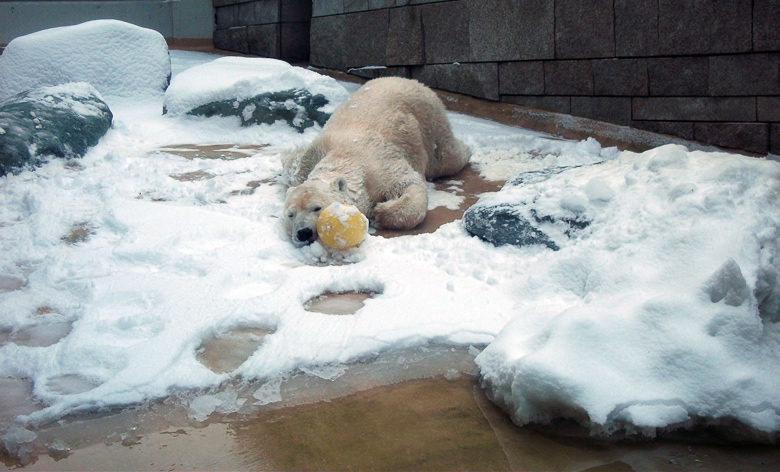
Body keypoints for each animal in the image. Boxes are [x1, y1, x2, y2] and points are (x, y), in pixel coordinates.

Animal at [284, 75, 472, 245]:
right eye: (290, 214)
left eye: (317, 208)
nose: (303, 232)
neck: (345, 154)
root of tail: (407, 79)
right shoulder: (312, 156)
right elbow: (294, 168)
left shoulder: (381, 165)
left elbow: (410, 183)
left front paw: (379, 212)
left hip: (429, 120)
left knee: (446, 157)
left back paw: (467, 150)